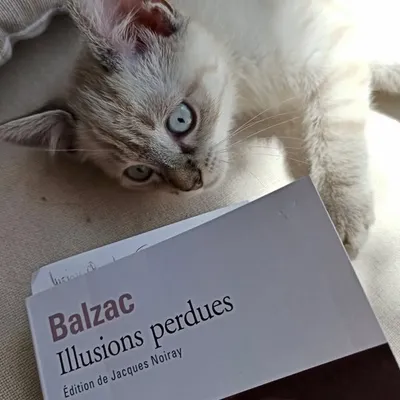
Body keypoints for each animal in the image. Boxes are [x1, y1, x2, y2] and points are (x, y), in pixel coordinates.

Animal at [2, 0, 400, 258]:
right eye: (139, 172)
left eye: (181, 120)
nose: (190, 184)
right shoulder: (335, 45)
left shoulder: (327, 49)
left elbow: (335, 132)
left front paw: (341, 210)